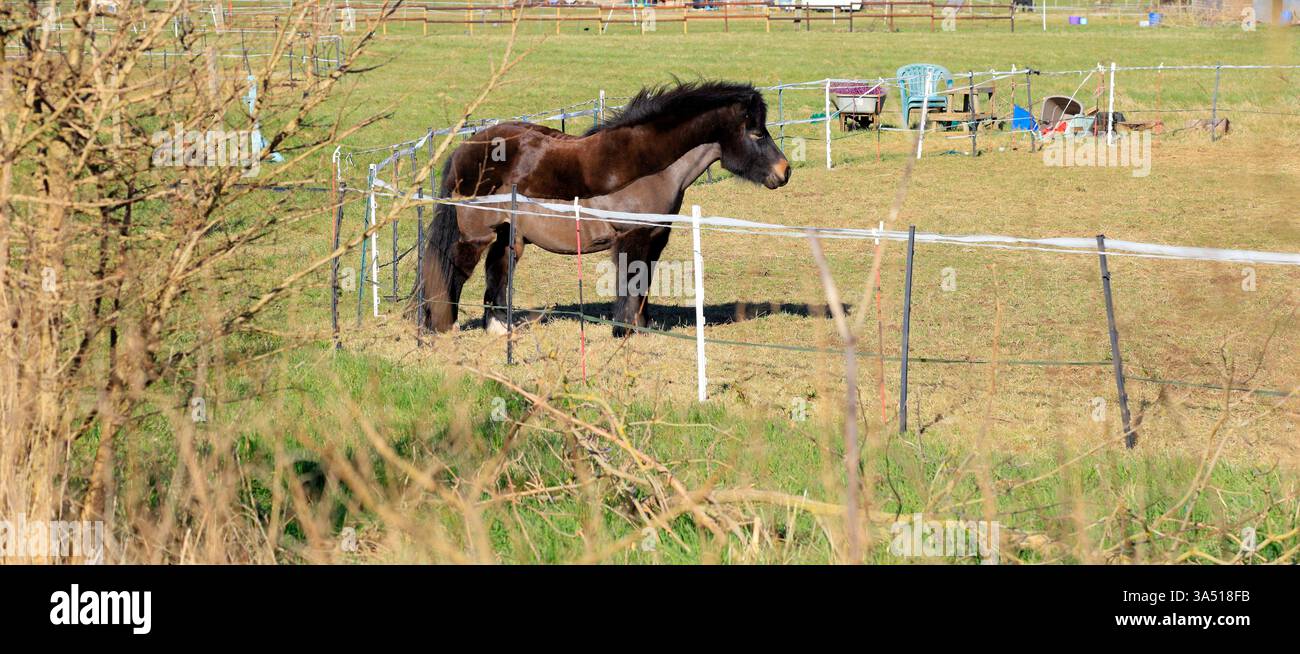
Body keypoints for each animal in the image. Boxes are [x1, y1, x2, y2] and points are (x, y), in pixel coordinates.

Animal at [413, 80, 790, 334]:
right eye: (756, 133)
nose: (784, 171)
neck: (648, 164)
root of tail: (465, 149)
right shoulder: (632, 237)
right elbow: (630, 283)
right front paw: (623, 331)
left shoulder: (655, 238)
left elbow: (643, 284)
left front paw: (641, 327)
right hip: (476, 235)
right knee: (453, 268)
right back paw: (439, 327)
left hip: (509, 236)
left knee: (498, 273)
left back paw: (498, 329)